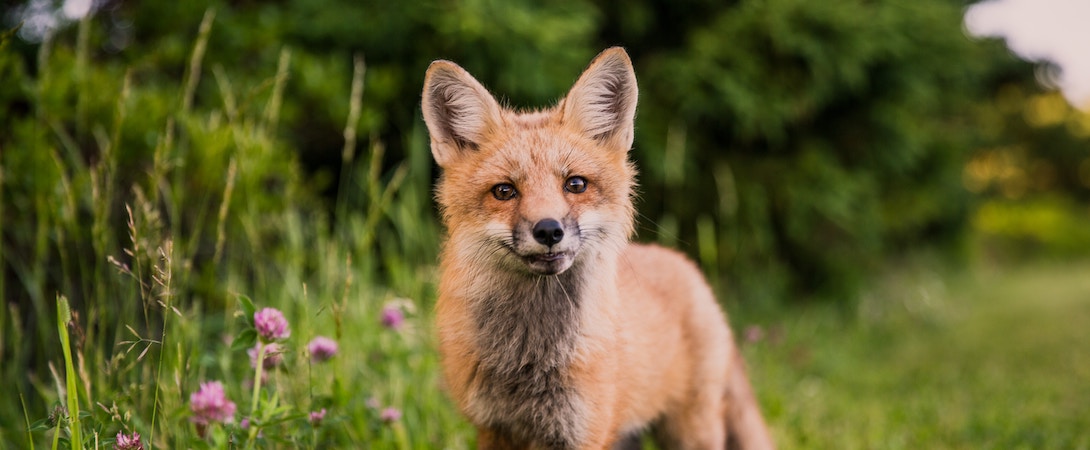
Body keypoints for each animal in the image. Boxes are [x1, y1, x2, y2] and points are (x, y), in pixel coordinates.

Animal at [421, 47, 774, 450]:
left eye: (575, 184)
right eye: (504, 191)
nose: (549, 230)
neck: (530, 358)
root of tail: (684, 263)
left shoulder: (584, 431)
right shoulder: (493, 429)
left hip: (690, 431)